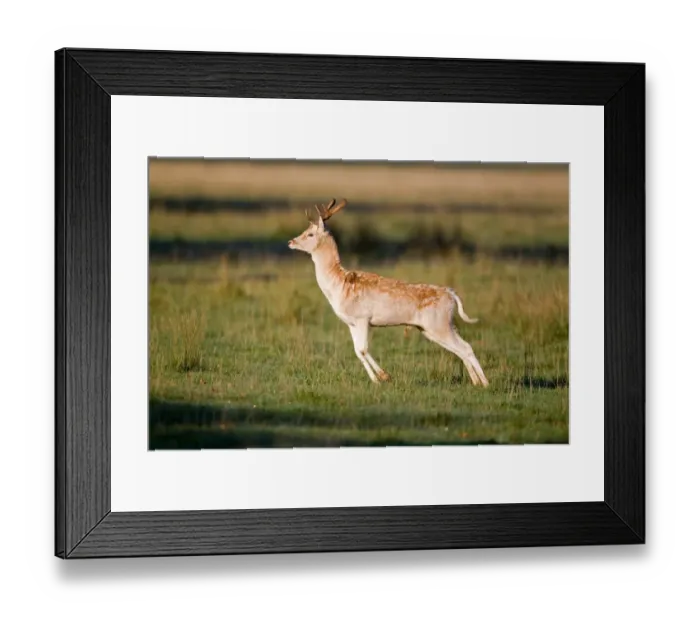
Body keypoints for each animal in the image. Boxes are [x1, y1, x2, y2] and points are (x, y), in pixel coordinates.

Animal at [288, 198, 489, 386]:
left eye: (310, 233)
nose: (291, 242)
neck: (338, 285)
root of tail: (452, 294)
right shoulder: (351, 323)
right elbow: (357, 351)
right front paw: (379, 378)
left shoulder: (362, 318)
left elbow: (363, 349)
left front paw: (383, 377)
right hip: (434, 328)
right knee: (461, 348)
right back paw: (476, 382)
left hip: (439, 325)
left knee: (465, 347)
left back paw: (485, 383)